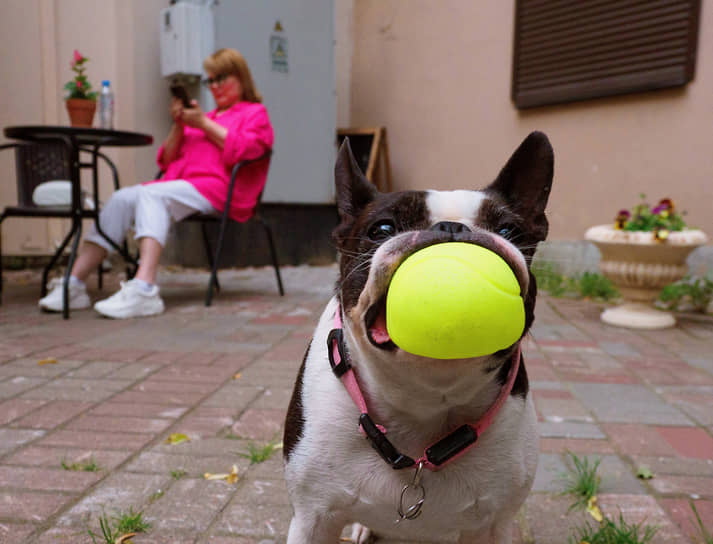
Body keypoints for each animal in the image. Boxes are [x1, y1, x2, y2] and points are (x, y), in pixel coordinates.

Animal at [280, 132, 552, 544]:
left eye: (509, 231)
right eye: (381, 229)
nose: (451, 228)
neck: (422, 400)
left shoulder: (495, 525)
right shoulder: (313, 517)